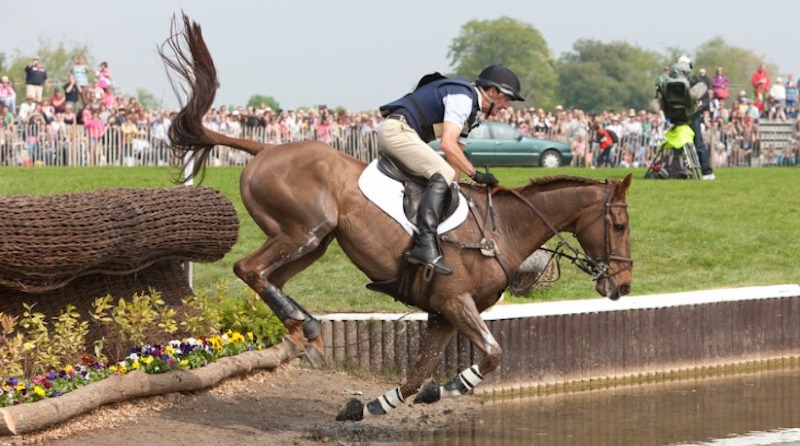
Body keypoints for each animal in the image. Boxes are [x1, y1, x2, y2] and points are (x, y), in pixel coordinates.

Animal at [161, 13, 632, 422]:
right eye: (620, 226)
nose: (623, 286)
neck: (502, 230)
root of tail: (265, 148)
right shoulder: (454, 302)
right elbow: (492, 354)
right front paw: (456, 384)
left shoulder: (442, 313)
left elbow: (416, 376)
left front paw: (370, 406)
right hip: (303, 230)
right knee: (250, 269)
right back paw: (305, 327)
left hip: (316, 241)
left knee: (269, 277)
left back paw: (305, 331)